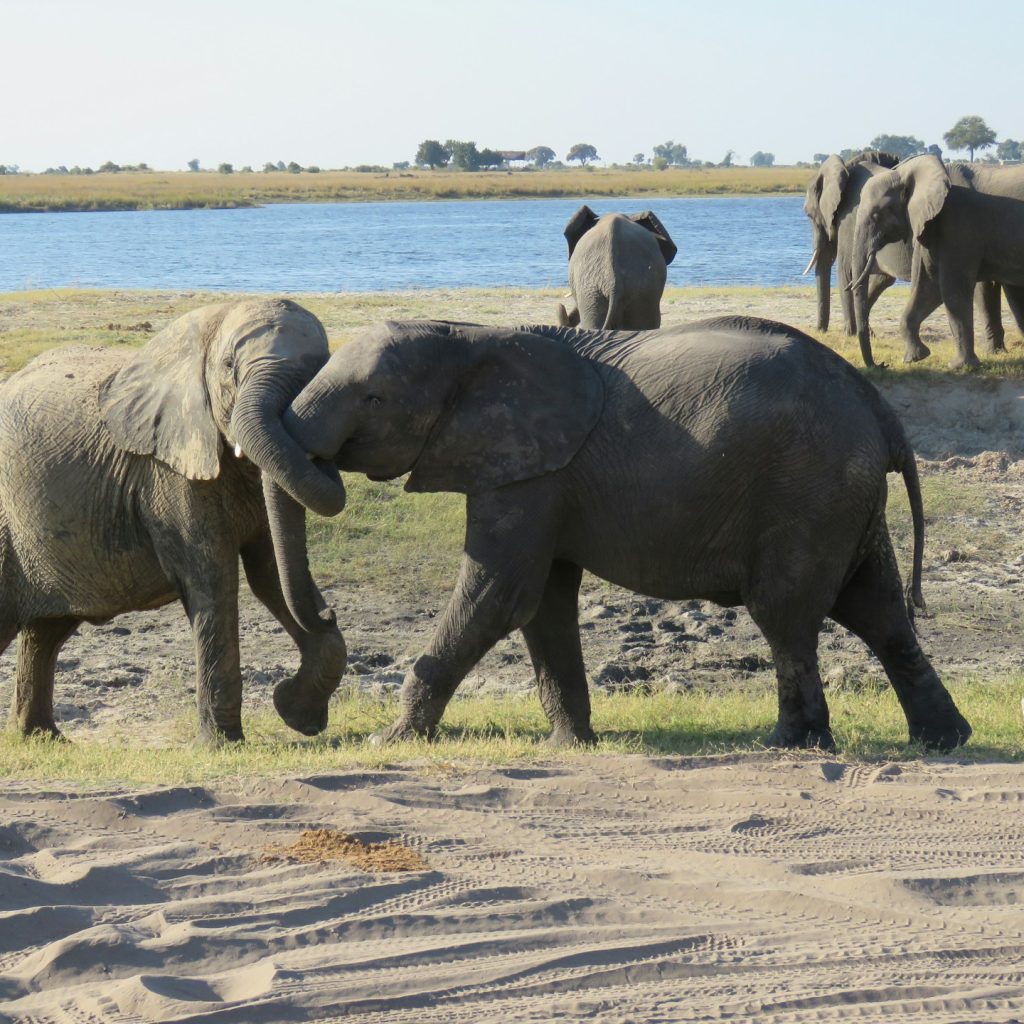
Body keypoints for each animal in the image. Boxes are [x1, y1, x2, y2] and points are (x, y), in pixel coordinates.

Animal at [0, 299, 348, 743]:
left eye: (321, 372)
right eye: (229, 367)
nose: (330, 613)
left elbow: (272, 573)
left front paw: (296, 714)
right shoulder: (169, 474)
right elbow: (214, 579)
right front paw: (223, 745)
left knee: (46, 631)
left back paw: (43, 738)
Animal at [281, 316, 971, 755]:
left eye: (372, 399)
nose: (300, 714)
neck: (468, 338)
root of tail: (881, 410)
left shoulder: (529, 470)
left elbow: (497, 595)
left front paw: (388, 740)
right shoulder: (541, 471)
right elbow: (543, 603)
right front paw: (572, 745)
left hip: (809, 487)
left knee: (786, 613)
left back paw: (791, 744)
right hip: (843, 496)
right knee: (876, 609)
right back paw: (943, 741)